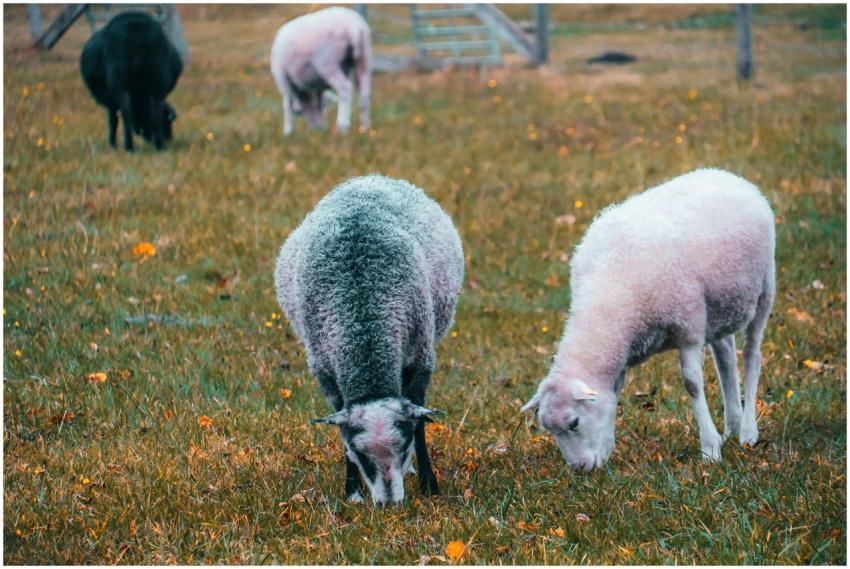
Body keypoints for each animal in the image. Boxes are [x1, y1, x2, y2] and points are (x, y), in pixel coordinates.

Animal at [80, 12, 183, 152]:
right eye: (167, 122)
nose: (169, 139)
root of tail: (136, 30)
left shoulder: (111, 100)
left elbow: (113, 121)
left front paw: (112, 145)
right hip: (157, 81)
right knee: (153, 110)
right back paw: (157, 146)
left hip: (121, 82)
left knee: (127, 113)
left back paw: (130, 147)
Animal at [270, 7, 372, 136]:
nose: (316, 129)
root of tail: (353, 26)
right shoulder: (319, 87)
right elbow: (319, 105)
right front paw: (323, 128)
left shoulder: (283, 80)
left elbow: (287, 104)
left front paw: (287, 132)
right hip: (364, 60)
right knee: (365, 94)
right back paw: (365, 129)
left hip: (328, 63)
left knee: (345, 88)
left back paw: (342, 127)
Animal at [274, 175, 464, 505]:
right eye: (360, 455)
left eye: (403, 446)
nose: (388, 504)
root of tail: (369, 177)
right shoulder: (327, 372)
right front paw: (352, 491)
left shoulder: (420, 359)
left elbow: (421, 425)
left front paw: (429, 485)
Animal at [522, 168, 776, 471]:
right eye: (550, 430)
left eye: (573, 423)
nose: (579, 469)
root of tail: (724, 173)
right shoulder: (624, 348)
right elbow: (613, 393)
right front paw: (607, 449)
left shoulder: (688, 326)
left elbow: (692, 384)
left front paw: (709, 449)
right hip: (719, 308)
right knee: (726, 355)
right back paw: (731, 426)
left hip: (763, 291)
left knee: (752, 356)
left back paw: (747, 431)